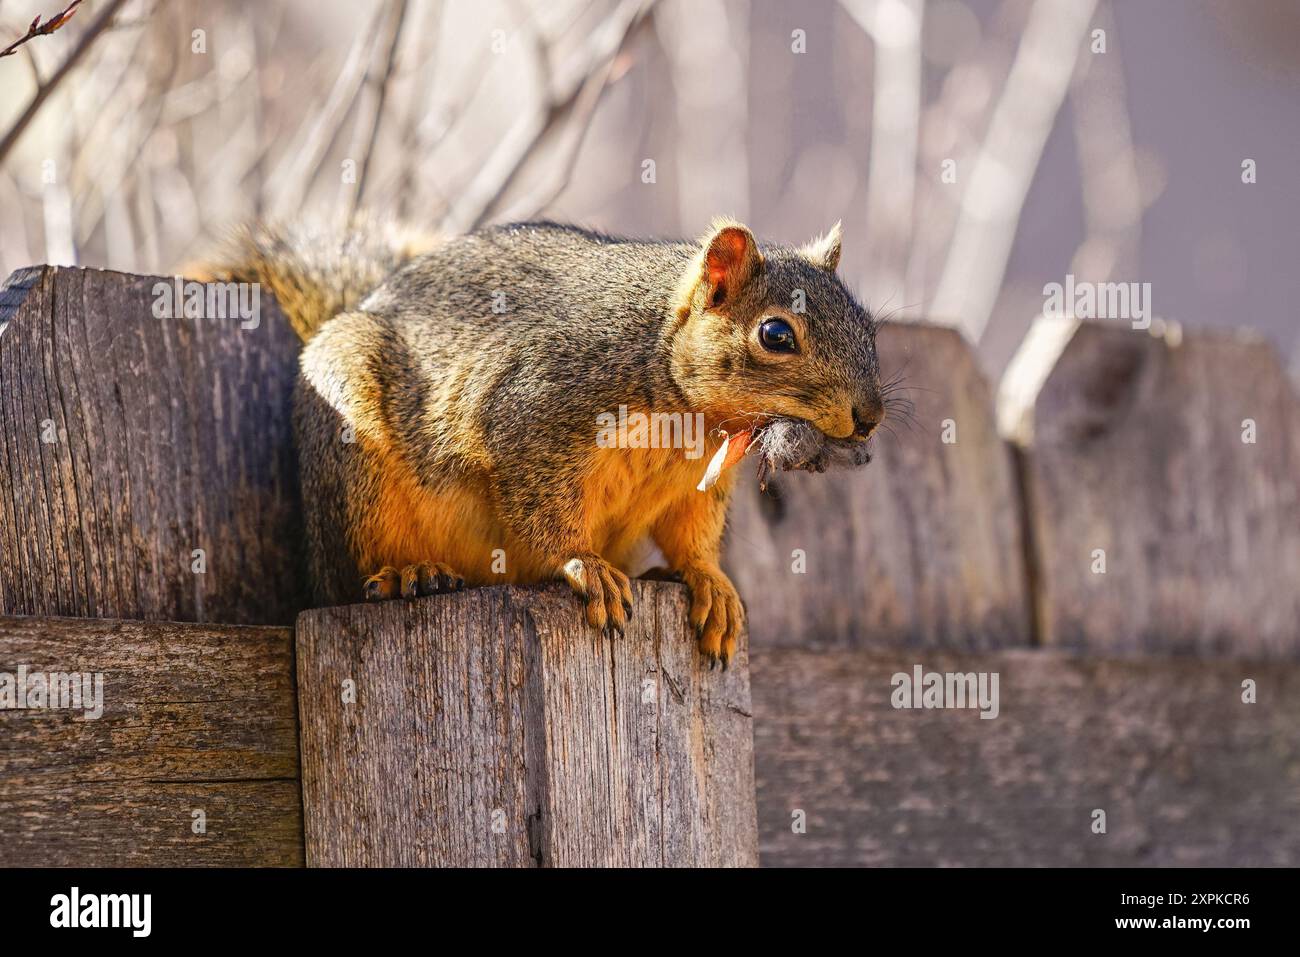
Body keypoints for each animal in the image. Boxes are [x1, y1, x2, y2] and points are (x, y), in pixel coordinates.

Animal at [201, 216, 884, 668]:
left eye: (869, 327)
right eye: (775, 334)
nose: (871, 415)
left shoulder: (696, 482)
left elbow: (693, 533)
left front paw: (710, 583)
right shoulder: (531, 414)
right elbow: (540, 506)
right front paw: (583, 564)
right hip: (351, 473)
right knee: (346, 578)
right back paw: (405, 573)